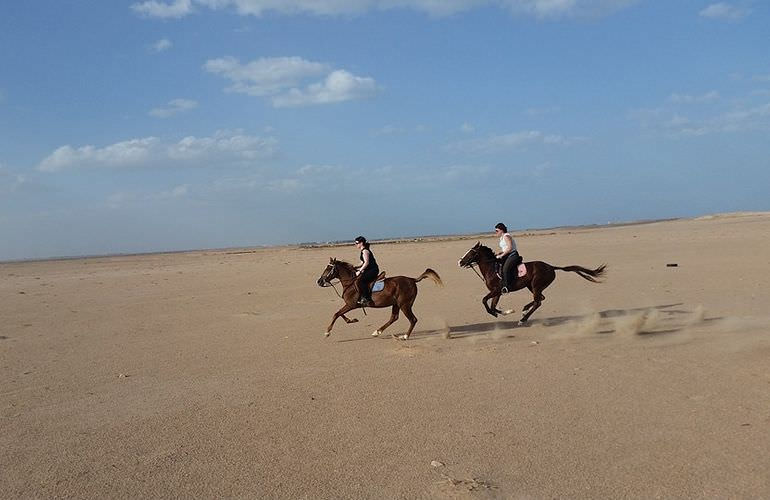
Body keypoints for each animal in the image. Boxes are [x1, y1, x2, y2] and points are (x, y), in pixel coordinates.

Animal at [456, 243, 608, 322]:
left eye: (471, 253)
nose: (460, 262)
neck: (491, 268)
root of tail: (551, 267)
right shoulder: (498, 293)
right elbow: (493, 306)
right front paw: (505, 312)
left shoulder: (496, 291)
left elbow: (484, 301)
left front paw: (499, 313)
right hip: (532, 286)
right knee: (541, 298)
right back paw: (524, 310)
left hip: (536, 285)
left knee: (538, 302)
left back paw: (523, 319)